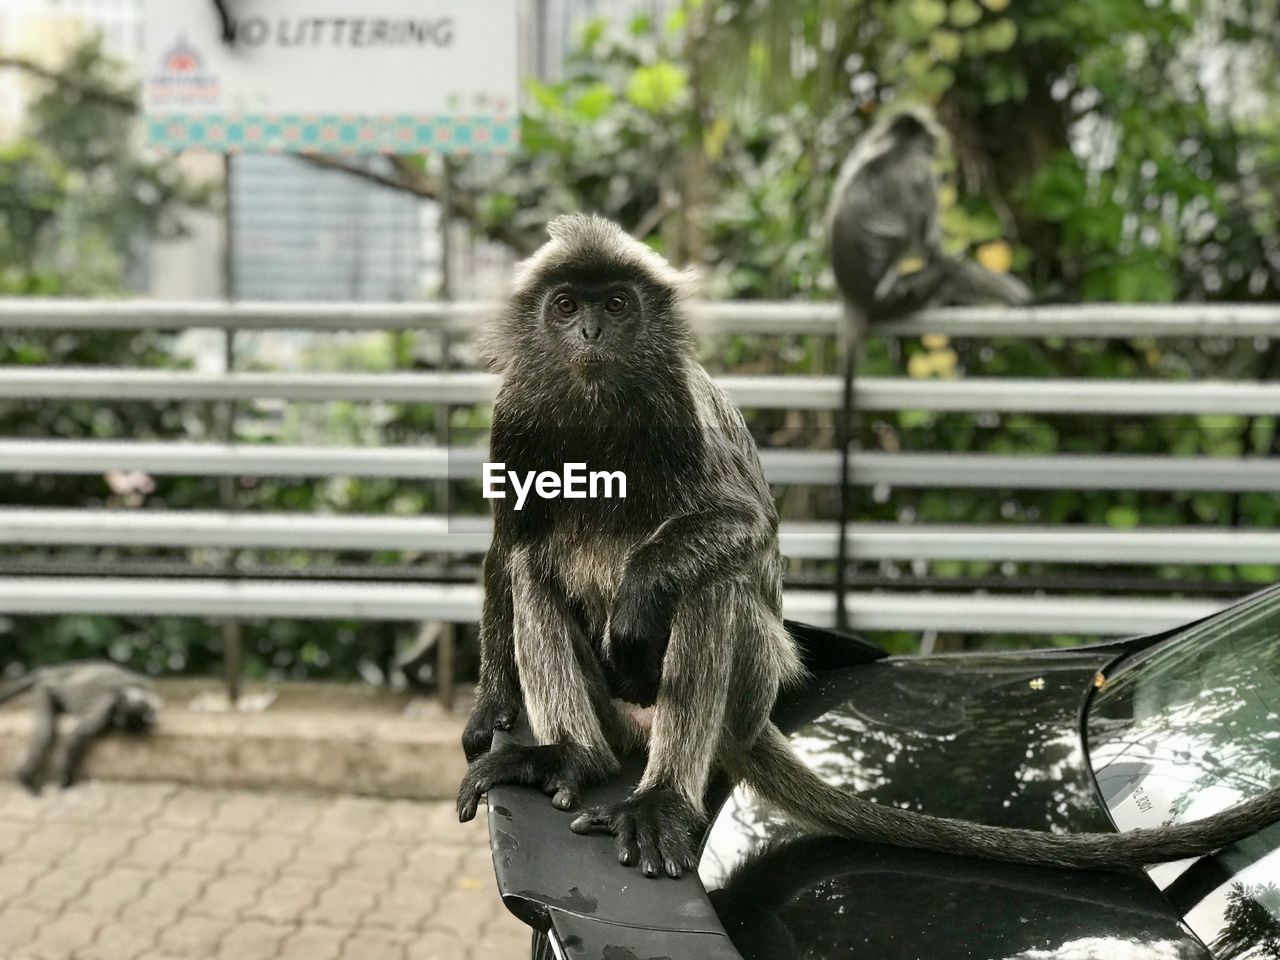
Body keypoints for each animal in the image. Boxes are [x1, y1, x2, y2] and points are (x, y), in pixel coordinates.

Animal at [0, 660, 158, 798]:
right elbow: (78, 736)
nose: (116, 723)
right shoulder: (104, 708)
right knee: (46, 732)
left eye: (120, 722)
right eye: (118, 718)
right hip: (44, 691)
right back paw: (25, 776)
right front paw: (65, 780)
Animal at [460, 216, 1280, 880]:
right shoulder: (515, 417)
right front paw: (492, 705)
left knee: (710, 583)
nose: (590, 336)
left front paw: (635, 605)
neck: (596, 410)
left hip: (748, 685)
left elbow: (748, 526)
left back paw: (663, 799)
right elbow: (507, 550)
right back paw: (574, 754)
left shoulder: (680, 406)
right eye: (567, 306)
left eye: (616, 305)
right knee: (536, 565)